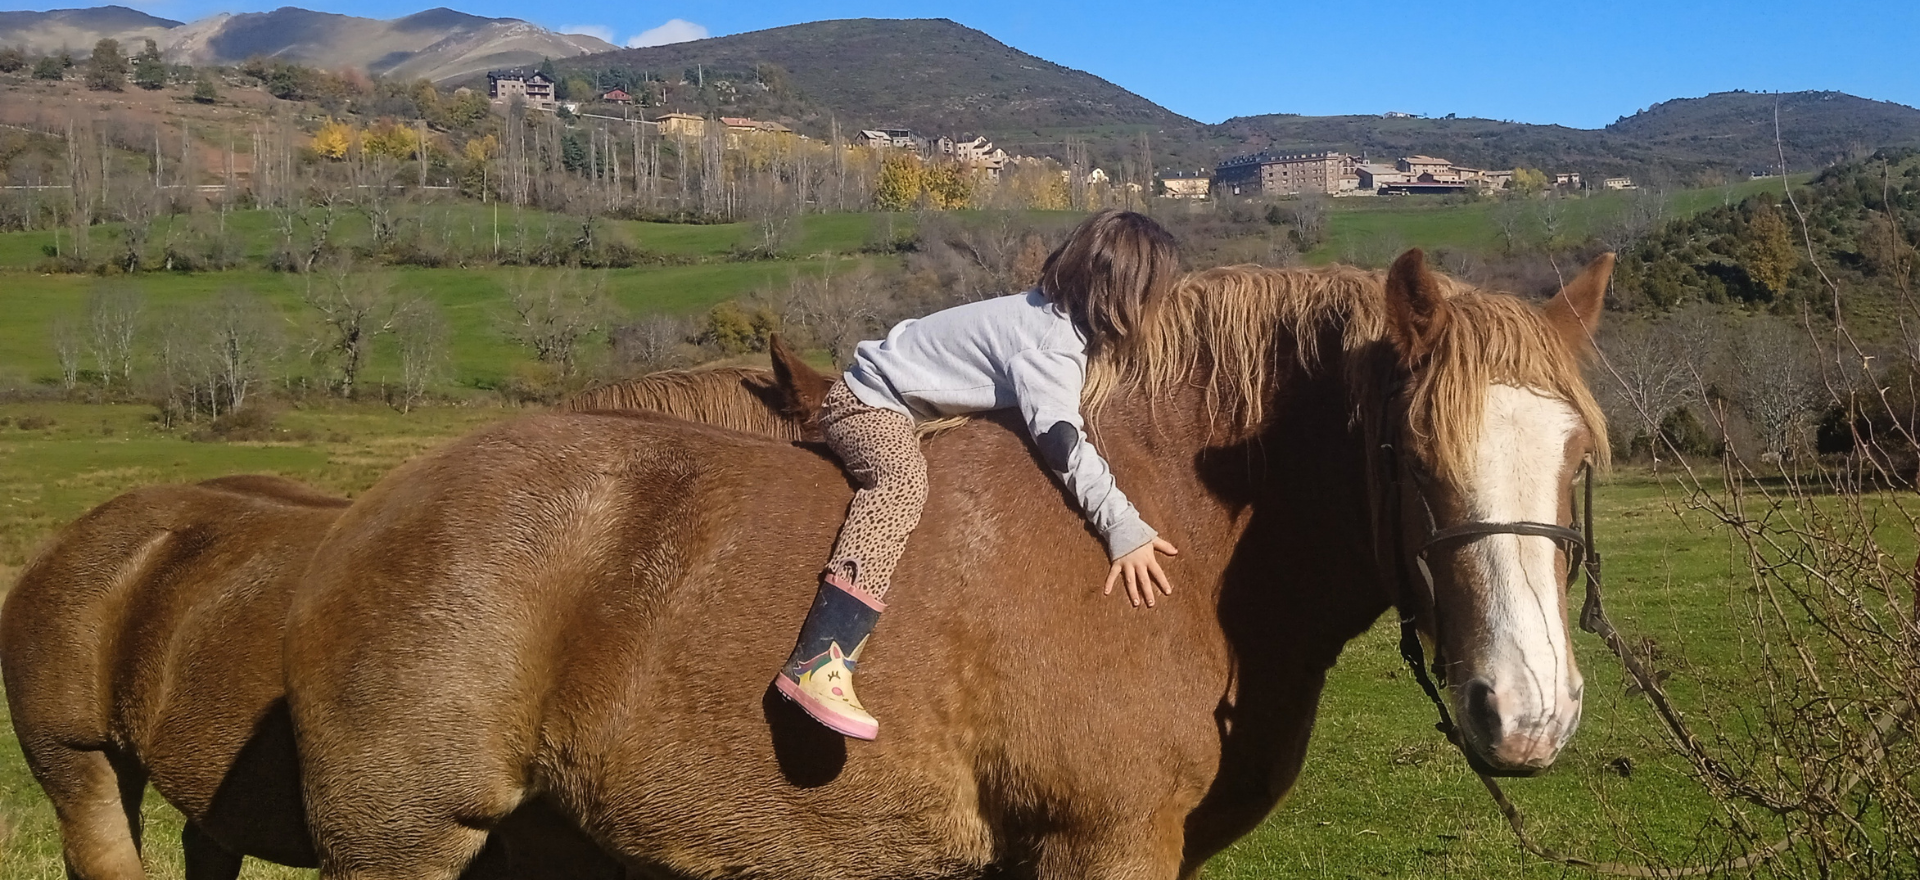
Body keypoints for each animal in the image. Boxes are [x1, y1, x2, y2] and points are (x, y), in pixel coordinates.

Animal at [280, 249, 1605, 880]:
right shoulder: (1099, 846)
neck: (1175, 536)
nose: (1527, 710)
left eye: (1578, 458)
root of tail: (364, 519)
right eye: (1409, 454)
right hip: (402, 847)